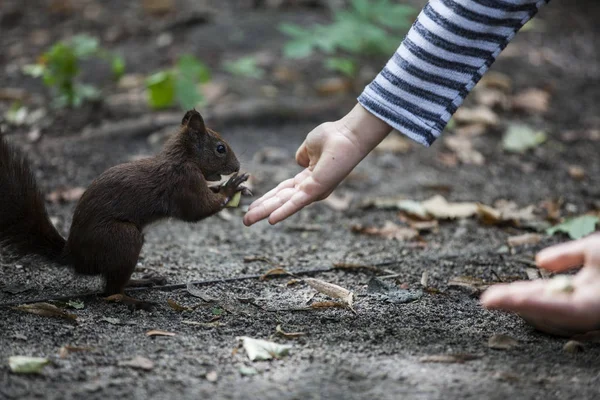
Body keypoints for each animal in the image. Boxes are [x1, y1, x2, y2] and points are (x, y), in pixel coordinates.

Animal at [0, 109, 248, 310]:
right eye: (220, 149)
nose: (237, 166)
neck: (182, 158)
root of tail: (74, 256)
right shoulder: (183, 182)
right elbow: (198, 210)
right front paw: (231, 188)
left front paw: (226, 187)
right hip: (122, 238)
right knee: (110, 291)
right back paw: (137, 301)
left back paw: (143, 281)